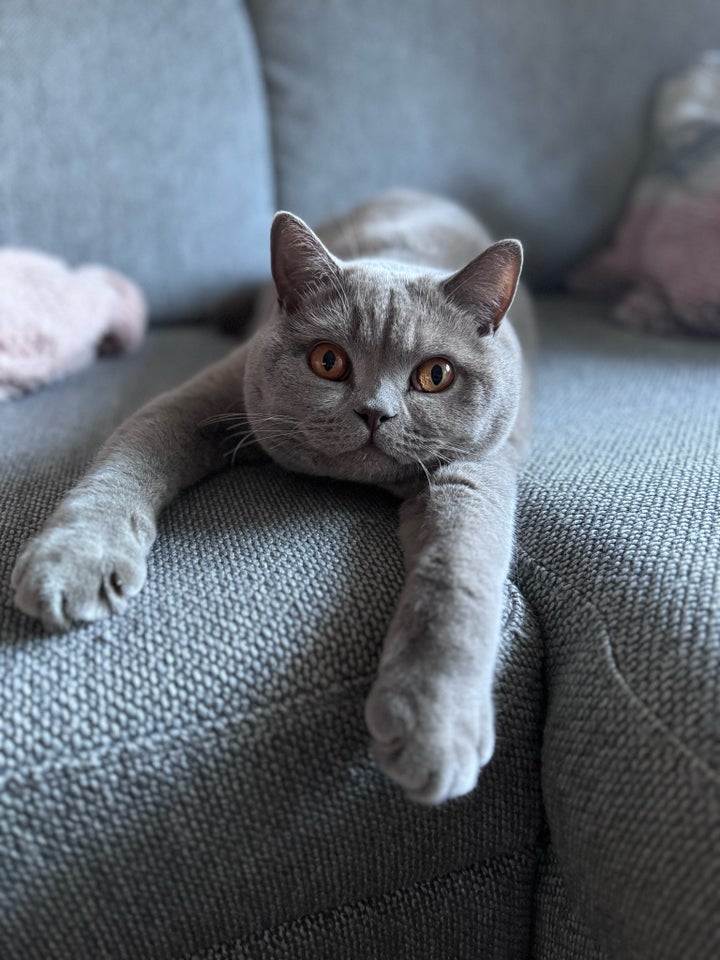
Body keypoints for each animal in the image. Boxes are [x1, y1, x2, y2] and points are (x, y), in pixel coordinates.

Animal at [9, 191, 528, 808]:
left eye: (436, 375)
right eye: (329, 361)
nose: (375, 412)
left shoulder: (476, 472)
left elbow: (456, 574)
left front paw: (435, 728)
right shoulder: (197, 400)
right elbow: (122, 464)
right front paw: (73, 563)